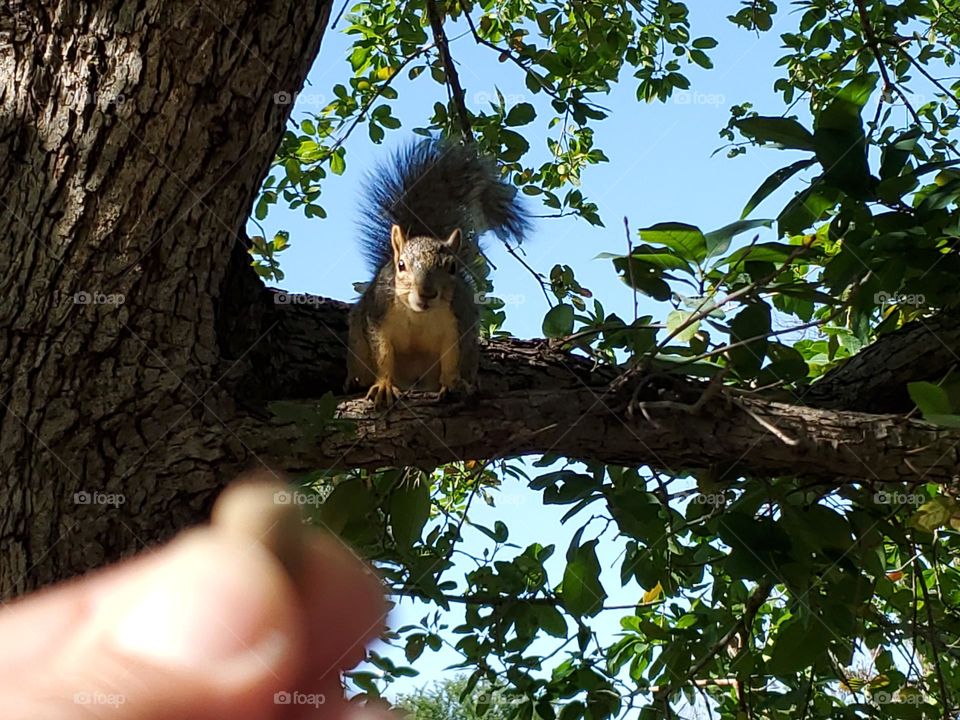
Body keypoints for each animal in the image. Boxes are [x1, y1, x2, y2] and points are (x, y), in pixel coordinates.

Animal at [344, 139, 524, 408]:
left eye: (452, 267)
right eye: (401, 265)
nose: (427, 293)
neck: (420, 316)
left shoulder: (458, 323)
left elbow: (452, 359)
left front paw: (454, 384)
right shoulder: (377, 314)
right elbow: (383, 353)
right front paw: (384, 385)